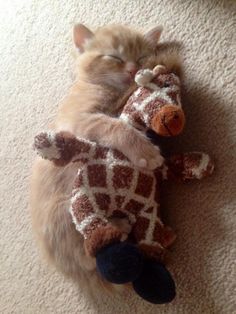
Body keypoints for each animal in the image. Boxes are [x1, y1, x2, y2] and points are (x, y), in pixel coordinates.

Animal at [30, 23, 164, 294]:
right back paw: (120, 228)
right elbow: (115, 125)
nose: (133, 70)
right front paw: (144, 151)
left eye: (141, 57)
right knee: (89, 254)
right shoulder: (81, 120)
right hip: (67, 212)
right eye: (114, 57)